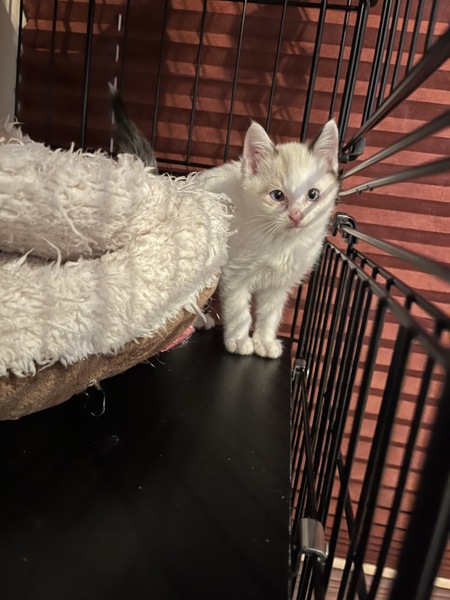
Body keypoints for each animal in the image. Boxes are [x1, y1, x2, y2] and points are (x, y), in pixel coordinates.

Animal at [110, 88, 340, 358]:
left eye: (313, 194)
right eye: (277, 195)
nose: (296, 215)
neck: (280, 241)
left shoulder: (279, 284)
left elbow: (270, 314)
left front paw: (264, 341)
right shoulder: (234, 272)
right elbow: (239, 310)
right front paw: (240, 339)